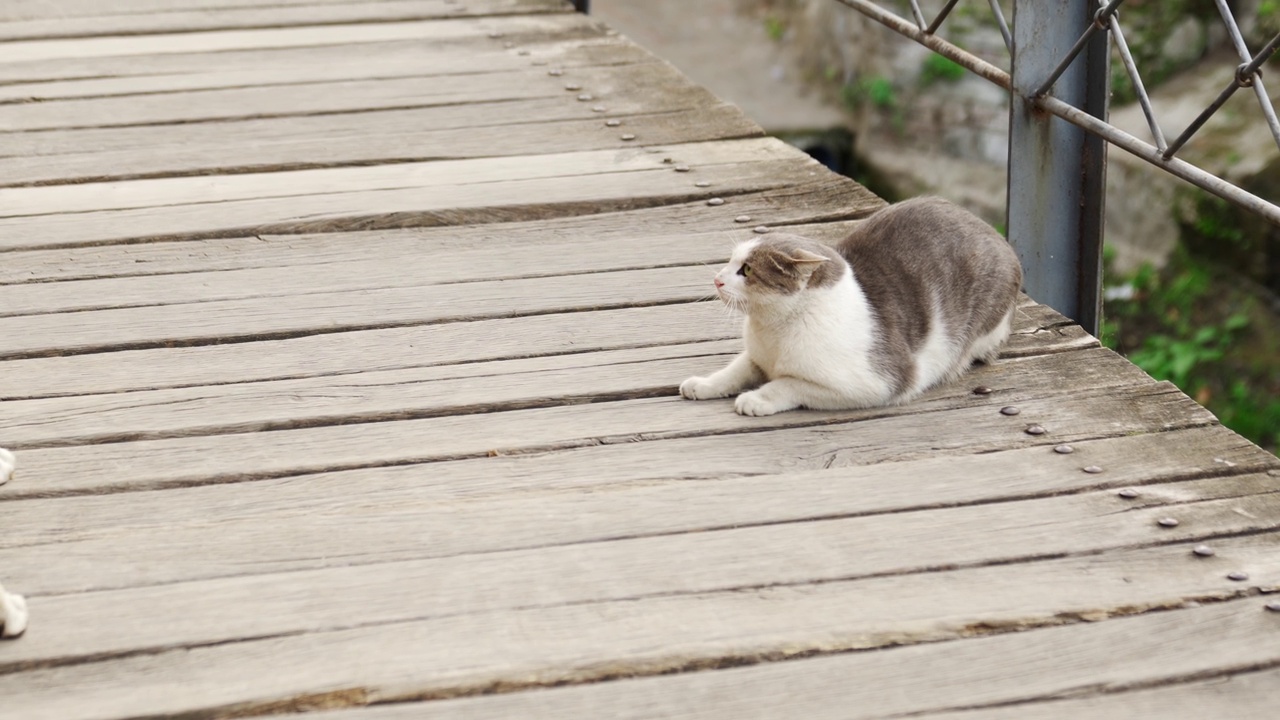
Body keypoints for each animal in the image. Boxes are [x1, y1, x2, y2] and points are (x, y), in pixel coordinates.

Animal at [680, 196, 1018, 415]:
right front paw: (704, 384)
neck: (772, 332)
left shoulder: (876, 382)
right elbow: (735, 370)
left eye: (747, 270)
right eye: (730, 261)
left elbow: (790, 383)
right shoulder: (757, 357)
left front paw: (757, 399)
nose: (716, 279)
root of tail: (998, 237)